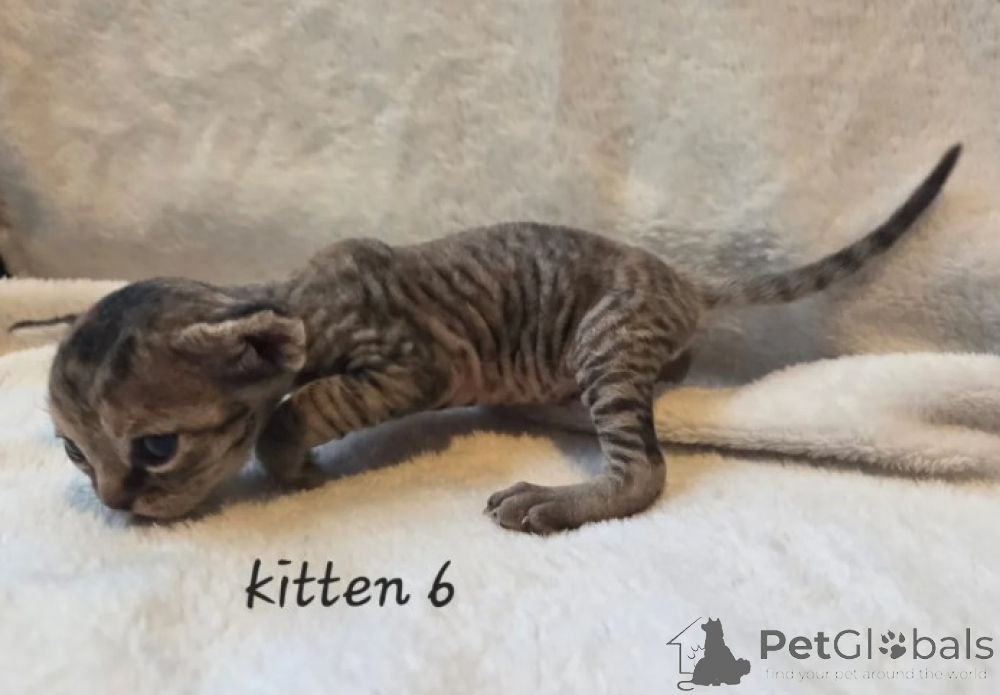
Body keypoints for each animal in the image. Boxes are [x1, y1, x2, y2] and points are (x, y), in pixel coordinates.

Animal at [47, 144, 960, 532]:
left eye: (155, 447)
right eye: (73, 453)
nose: (114, 504)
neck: (296, 295)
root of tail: (678, 280)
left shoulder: (410, 362)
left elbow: (300, 405)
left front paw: (290, 460)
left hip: (605, 338)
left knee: (645, 473)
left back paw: (555, 500)